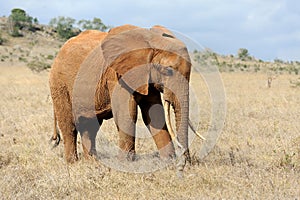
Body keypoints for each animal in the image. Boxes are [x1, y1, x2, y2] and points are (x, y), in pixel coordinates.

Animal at [48, 24, 195, 174]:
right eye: (168, 71)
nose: (185, 164)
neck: (150, 41)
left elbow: (154, 114)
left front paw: (168, 161)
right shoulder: (117, 75)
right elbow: (128, 112)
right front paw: (126, 164)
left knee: (90, 126)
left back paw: (92, 162)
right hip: (59, 83)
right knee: (69, 125)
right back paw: (72, 163)